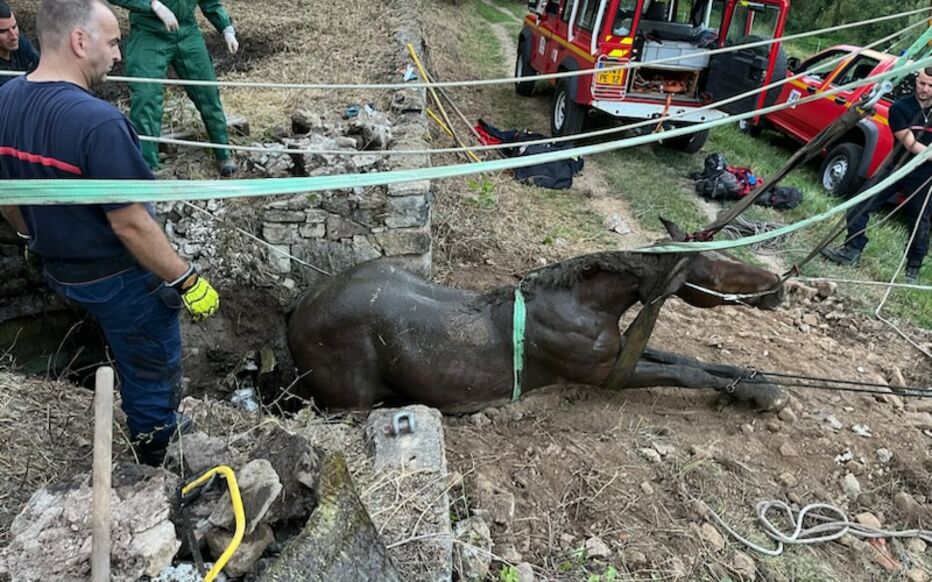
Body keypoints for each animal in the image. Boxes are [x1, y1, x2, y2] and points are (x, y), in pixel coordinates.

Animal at [286, 221, 788, 412]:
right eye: (717, 266)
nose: (779, 287)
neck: (583, 304)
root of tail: (298, 313)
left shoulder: (621, 353)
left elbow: (693, 362)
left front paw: (760, 386)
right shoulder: (606, 374)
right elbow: (688, 374)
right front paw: (766, 395)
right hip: (353, 403)